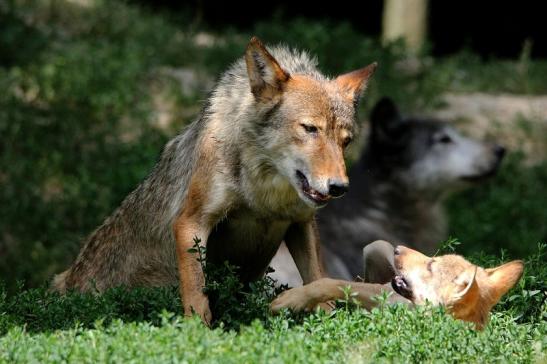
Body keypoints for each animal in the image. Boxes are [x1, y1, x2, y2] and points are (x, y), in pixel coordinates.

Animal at [53, 35, 378, 322]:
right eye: (310, 129)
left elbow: (316, 277)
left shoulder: (301, 223)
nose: (339, 187)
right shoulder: (191, 222)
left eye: (346, 141)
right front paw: (199, 331)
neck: (264, 193)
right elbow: (197, 293)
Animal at [272, 240, 524, 328]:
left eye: (431, 265)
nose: (398, 249)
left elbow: (326, 283)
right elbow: (330, 283)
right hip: (376, 247)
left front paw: (291, 300)